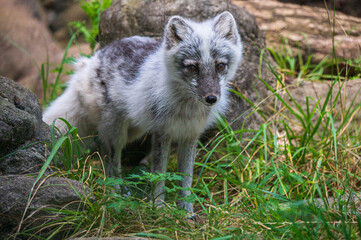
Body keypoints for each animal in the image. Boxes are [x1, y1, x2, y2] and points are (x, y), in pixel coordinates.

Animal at [43, 11, 243, 212]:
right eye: (193, 67)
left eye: (220, 66)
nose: (211, 98)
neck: (187, 108)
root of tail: (91, 61)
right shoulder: (162, 133)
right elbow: (159, 175)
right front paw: (159, 208)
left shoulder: (190, 136)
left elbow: (186, 179)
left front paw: (186, 212)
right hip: (117, 133)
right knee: (110, 160)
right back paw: (115, 193)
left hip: (134, 130)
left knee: (104, 150)